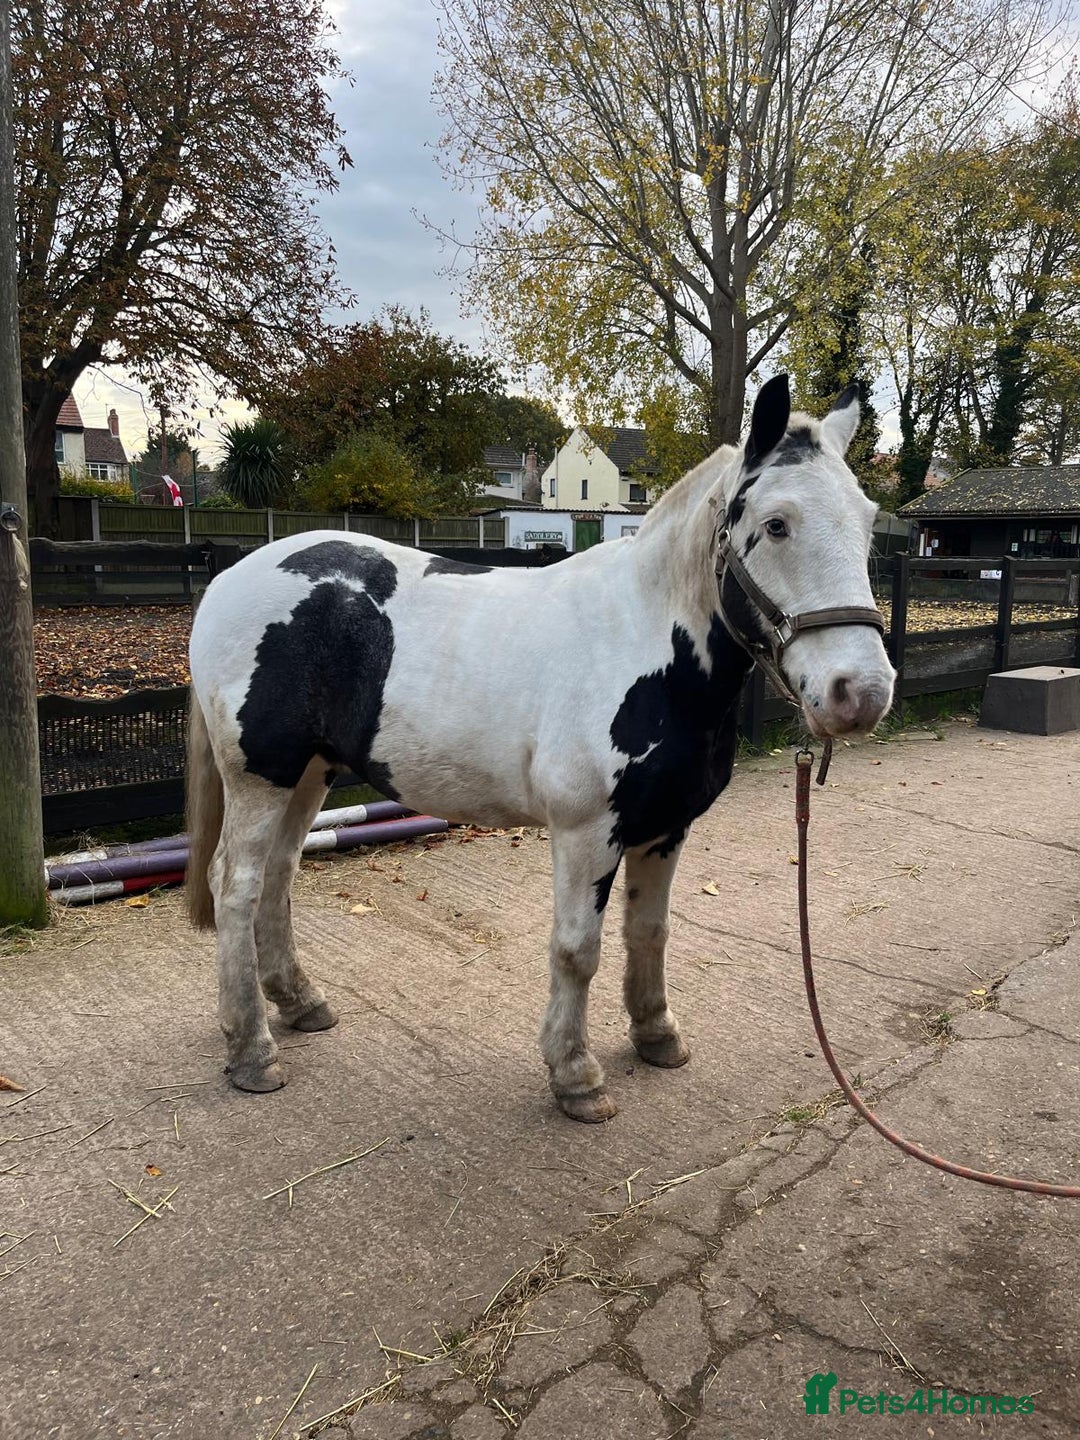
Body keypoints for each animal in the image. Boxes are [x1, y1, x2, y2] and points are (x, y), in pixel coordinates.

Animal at [186, 375, 895, 1121]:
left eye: (867, 521)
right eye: (778, 523)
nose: (861, 692)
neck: (643, 642)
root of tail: (226, 581)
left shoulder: (665, 827)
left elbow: (649, 932)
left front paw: (656, 1034)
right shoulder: (587, 832)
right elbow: (577, 950)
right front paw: (575, 1075)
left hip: (310, 773)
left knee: (279, 878)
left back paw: (299, 1003)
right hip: (260, 777)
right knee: (236, 886)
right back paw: (252, 1051)